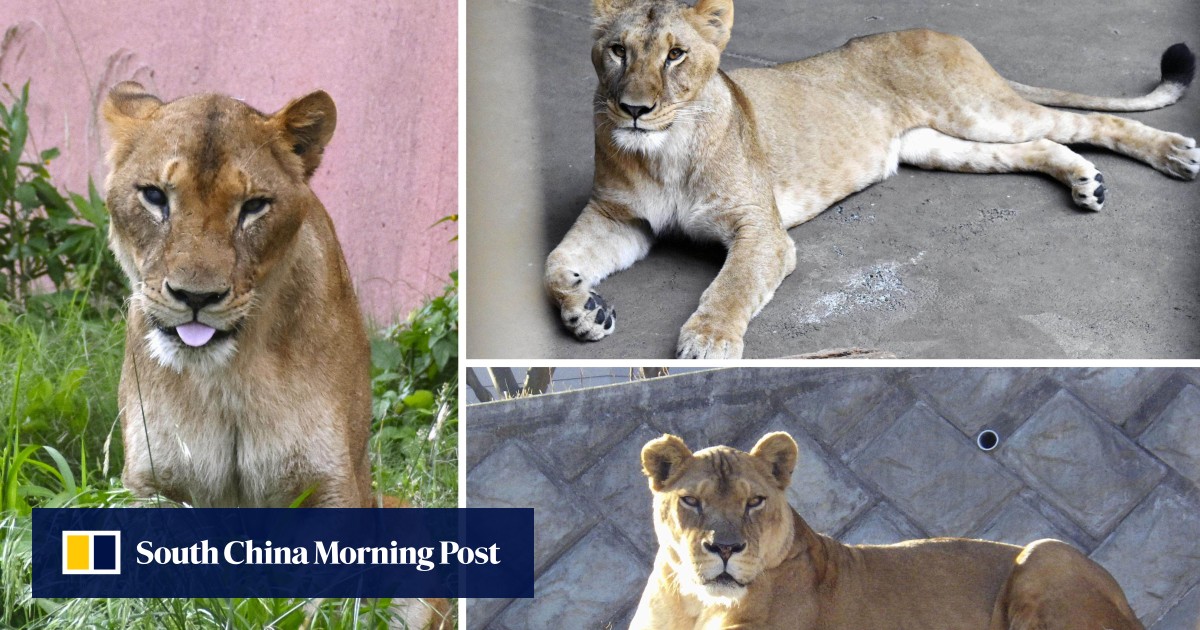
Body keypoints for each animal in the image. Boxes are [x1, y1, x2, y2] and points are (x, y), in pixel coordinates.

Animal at [102, 82, 450, 629]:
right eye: (155, 196)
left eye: (254, 206)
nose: (196, 296)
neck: (229, 375)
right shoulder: (153, 484)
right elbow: (158, 605)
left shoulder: (331, 488)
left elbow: (317, 611)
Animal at [545, 0, 1199, 359]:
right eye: (618, 50)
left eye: (676, 54)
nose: (633, 109)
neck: (663, 151)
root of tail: (946, 33)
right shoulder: (619, 218)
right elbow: (555, 264)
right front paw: (586, 311)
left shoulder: (762, 231)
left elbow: (731, 286)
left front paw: (708, 342)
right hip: (938, 144)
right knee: (1040, 145)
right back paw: (1086, 180)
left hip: (981, 110)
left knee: (1087, 121)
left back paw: (1174, 154)